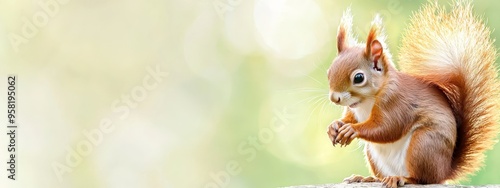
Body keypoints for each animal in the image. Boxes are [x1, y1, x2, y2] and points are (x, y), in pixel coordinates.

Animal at [328, 1, 500, 188]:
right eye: (329, 72)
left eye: (358, 78)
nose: (334, 98)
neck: (366, 101)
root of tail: (444, 170)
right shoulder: (354, 110)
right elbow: (350, 118)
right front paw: (334, 126)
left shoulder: (396, 102)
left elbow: (386, 128)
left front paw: (351, 130)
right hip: (375, 154)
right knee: (383, 176)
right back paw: (368, 178)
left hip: (423, 145)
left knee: (423, 179)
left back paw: (402, 178)